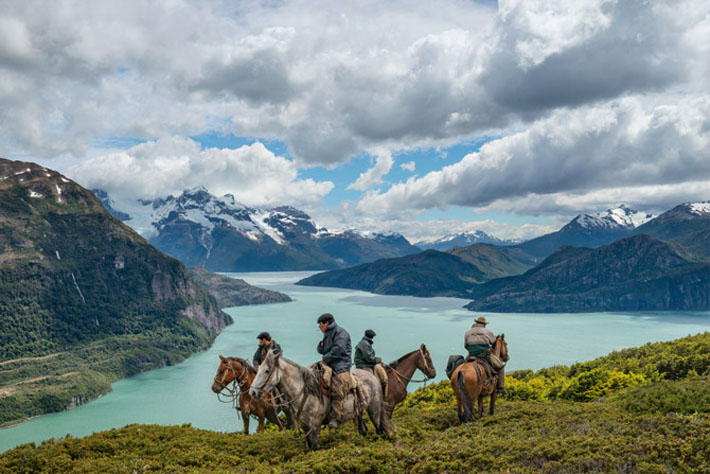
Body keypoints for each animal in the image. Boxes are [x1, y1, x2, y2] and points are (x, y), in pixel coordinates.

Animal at [250, 348, 394, 452]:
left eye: (267, 370)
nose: (253, 392)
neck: (305, 392)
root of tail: (372, 376)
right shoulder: (305, 426)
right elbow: (310, 446)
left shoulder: (315, 426)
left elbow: (315, 447)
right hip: (358, 413)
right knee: (363, 430)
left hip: (374, 410)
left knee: (379, 428)